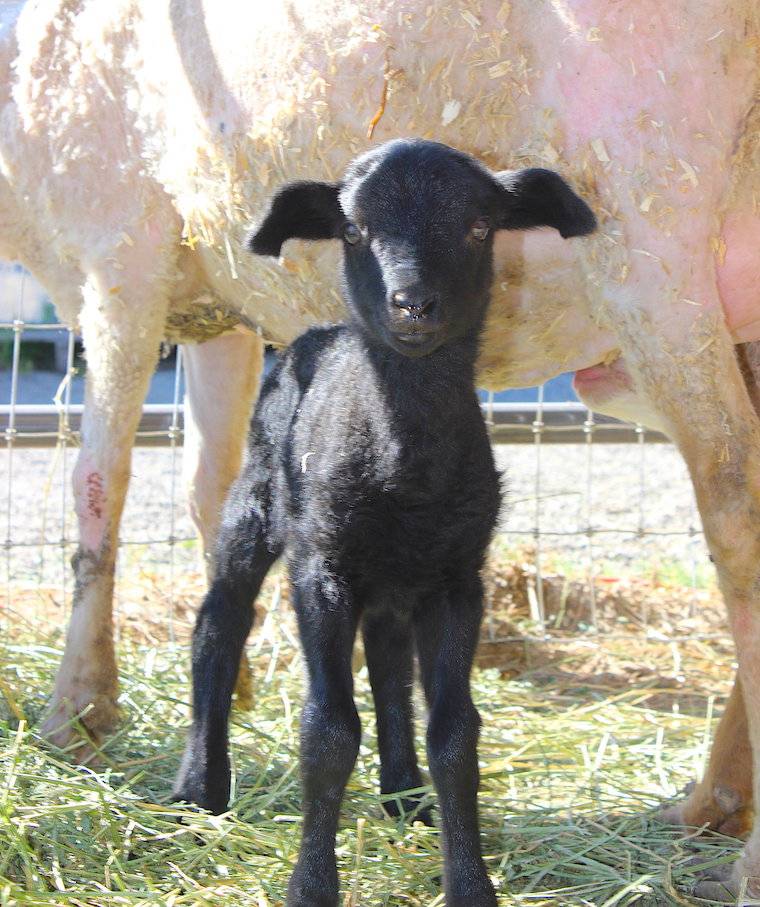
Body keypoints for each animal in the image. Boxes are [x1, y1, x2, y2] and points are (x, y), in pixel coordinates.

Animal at [172, 139, 596, 907]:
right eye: (352, 230)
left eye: (480, 228)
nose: (413, 303)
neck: (406, 466)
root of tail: (315, 333)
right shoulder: (323, 567)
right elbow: (328, 731)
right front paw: (312, 886)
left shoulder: (458, 578)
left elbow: (455, 733)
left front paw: (469, 884)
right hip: (258, 502)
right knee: (219, 622)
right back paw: (199, 790)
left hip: (397, 577)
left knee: (389, 659)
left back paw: (404, 794)